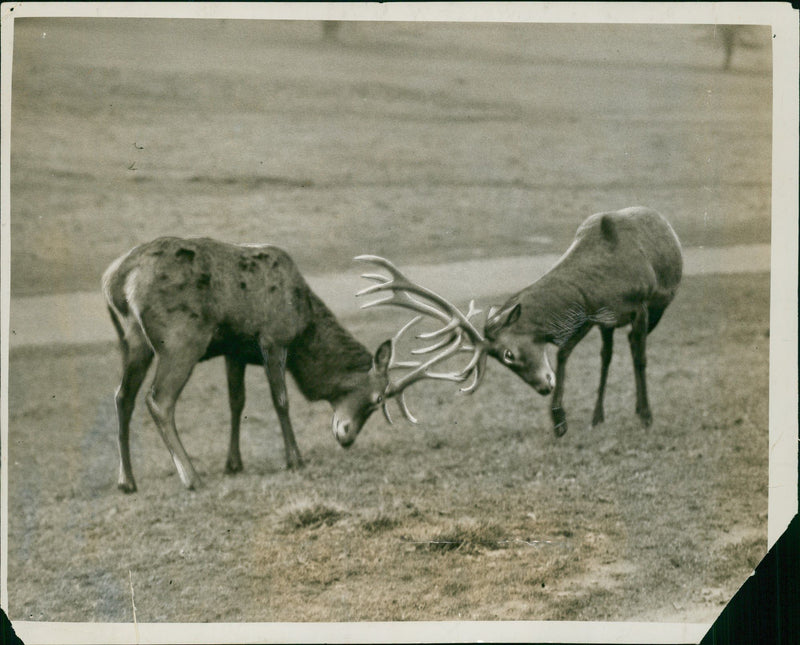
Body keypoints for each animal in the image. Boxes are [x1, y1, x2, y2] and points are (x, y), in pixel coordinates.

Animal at [360, 206, 684, 438]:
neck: (603, 282)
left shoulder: (641, 306)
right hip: (608, 325)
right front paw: (558, 420)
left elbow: (640, 358)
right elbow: (563, 353)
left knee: (629, 348)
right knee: (607, 354)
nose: (542, 387)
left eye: (508, 354)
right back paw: (597, 416)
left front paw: (646, 417)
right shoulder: (591, 315)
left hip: (655, 309)